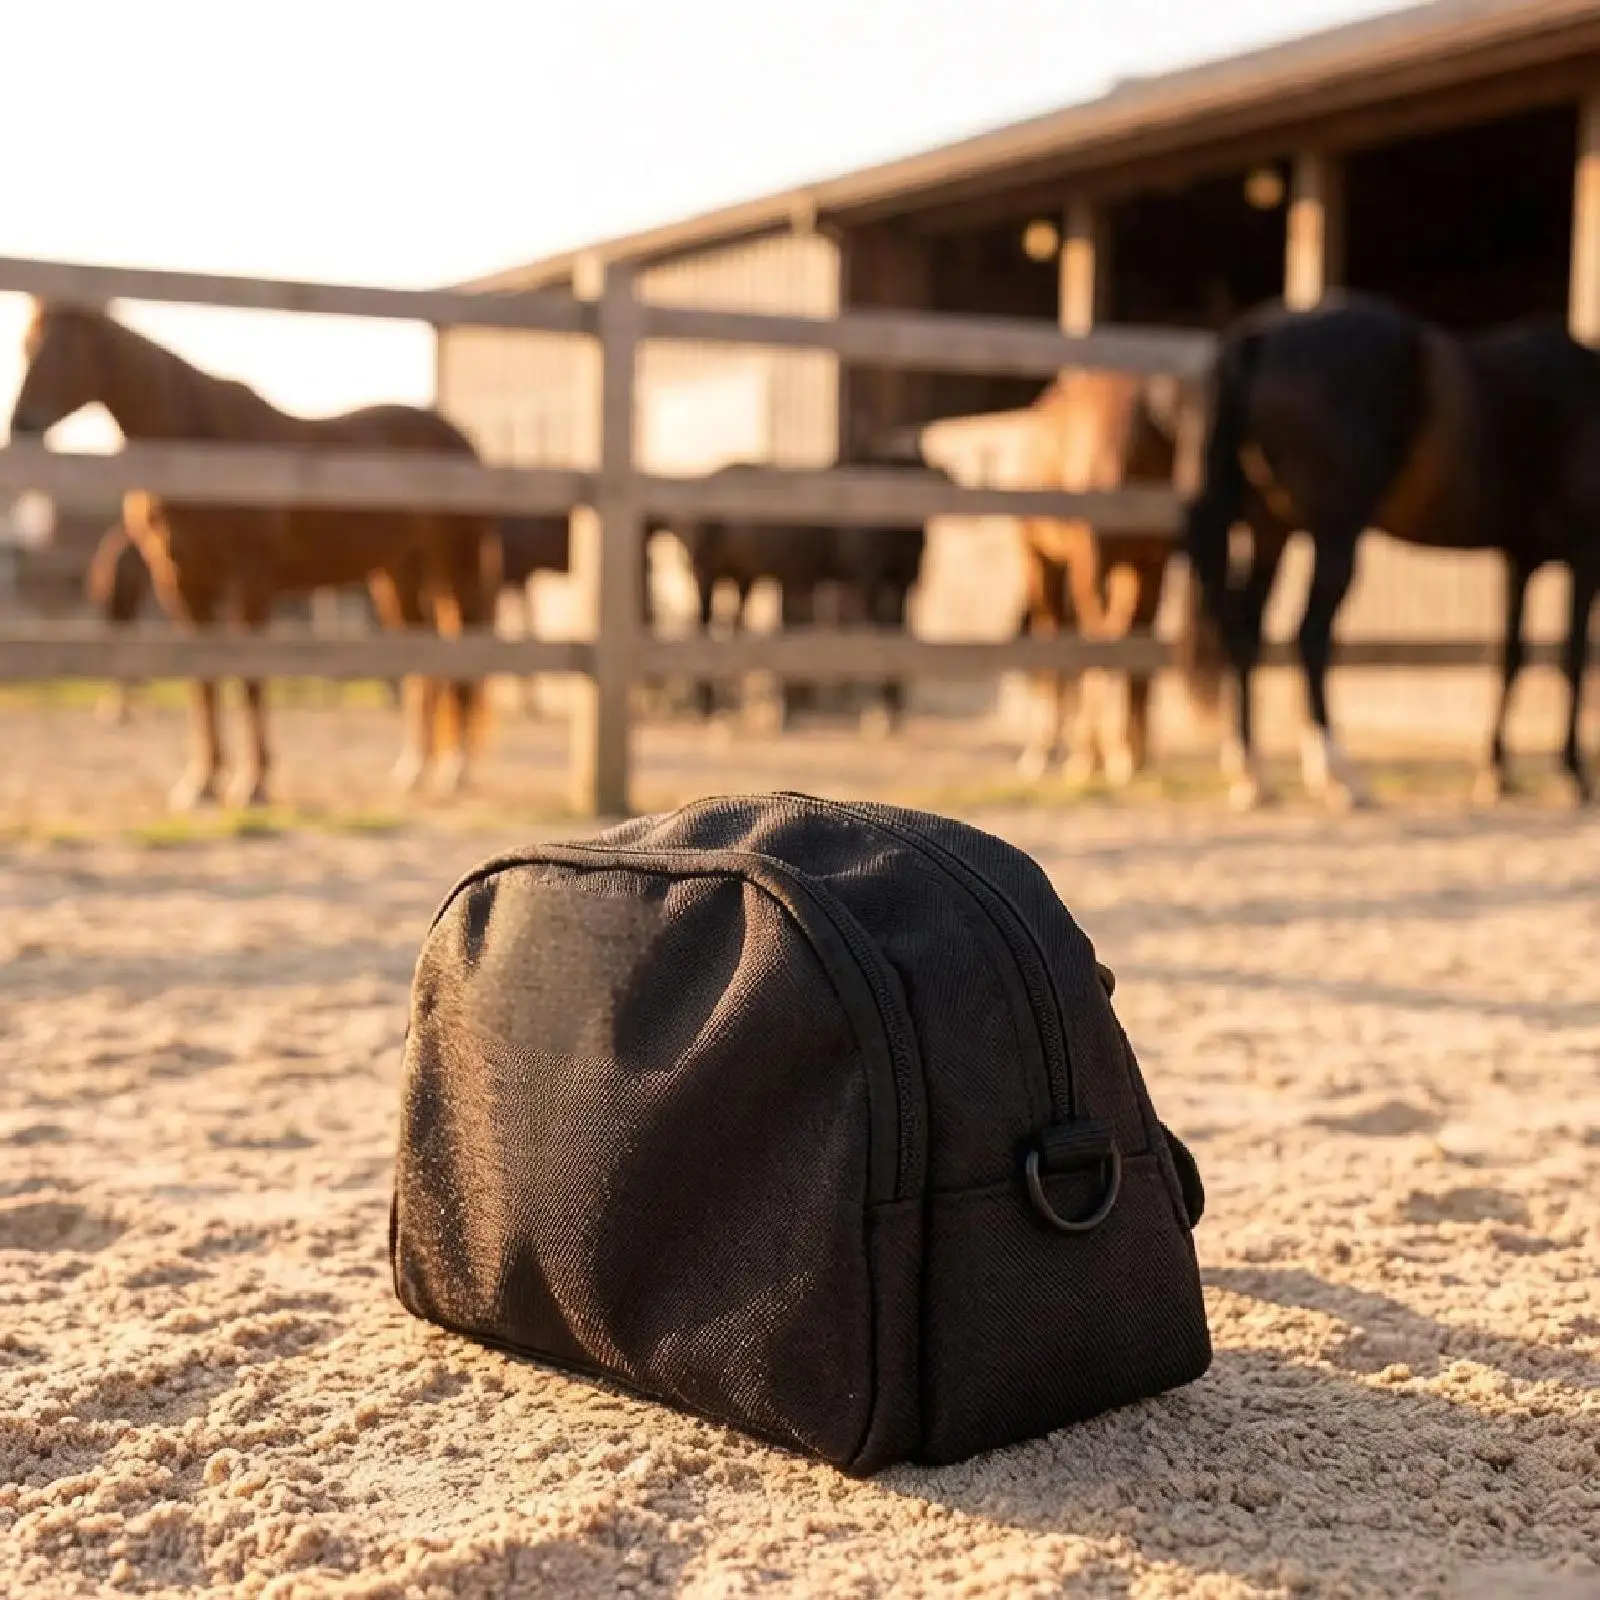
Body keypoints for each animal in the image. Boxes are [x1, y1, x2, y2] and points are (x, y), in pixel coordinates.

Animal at [8, 302, 501, 810]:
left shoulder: (251, 578)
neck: (201, 444)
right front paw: (202, 783)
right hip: (400, 573)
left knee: (465, 652)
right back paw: (416, 769)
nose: (22, 422)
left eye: (67, 349)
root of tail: (462, 442)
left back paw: (454, 770)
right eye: (26, 344)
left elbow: (250, 677)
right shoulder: (185, 582)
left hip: (455, 564)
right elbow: (204, 680)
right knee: (426, 661)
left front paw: (254, 783)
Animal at [1014, 369, 1222, 783]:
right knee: (1100, 635)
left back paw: (1087, 752)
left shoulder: (1116, 563)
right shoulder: (1121, 562)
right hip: (1098, 565)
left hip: (1090, 565)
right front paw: (1111, 753)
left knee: (1096, 636)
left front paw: (1099, 753)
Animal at [1182, 290, 1600, 810]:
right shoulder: (1585, 553)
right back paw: (1339, 774)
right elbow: (1573, 657)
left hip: (1270, 531)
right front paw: (1571, 774)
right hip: (1335, 531)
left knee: (1245, 630)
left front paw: (1495, 773)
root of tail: (1258, 337)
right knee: (1310, 634)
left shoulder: (1518, 559)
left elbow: (1511, 657)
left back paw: (1251, 773)